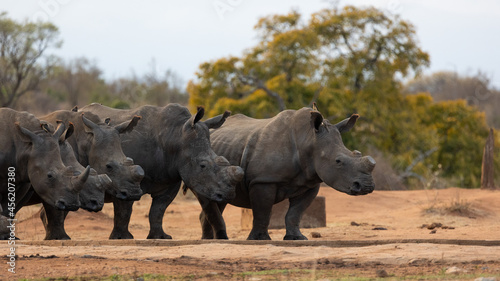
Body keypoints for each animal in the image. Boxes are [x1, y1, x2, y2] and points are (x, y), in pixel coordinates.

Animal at [81, 103, 244, 238]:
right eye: (202, 166)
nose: (227, 194)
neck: (175, 137)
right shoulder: (124, 179)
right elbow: (125, 209)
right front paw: (122, 238)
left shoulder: (169, 178)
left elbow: (158, 210)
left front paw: (160, 237)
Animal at [195, 104, 376, 240]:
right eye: (338, 161)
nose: (366, 186)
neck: (309, 139)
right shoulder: (263, 180)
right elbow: (263, 211)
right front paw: (260, 239)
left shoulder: (310, 183)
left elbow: (295, 212)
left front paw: (297, 238)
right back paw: (212, 240)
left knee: (220, 199)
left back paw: (211, 240)